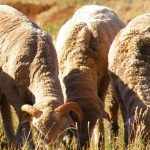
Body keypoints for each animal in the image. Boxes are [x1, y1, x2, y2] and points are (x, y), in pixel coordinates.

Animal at [0, 4, 82, 148]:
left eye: (62, 129)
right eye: (38, 130)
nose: (52, 147)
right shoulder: (13, 94)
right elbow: (24, 123)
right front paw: (29, 146)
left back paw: (11, 141)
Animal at [55, 4, 125, 148]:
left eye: (92, 123)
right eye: (75, 119)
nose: (83, 144)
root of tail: (96, 5)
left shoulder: (103, 82)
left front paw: (100, 141)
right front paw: (67, 140)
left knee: (113, 108)